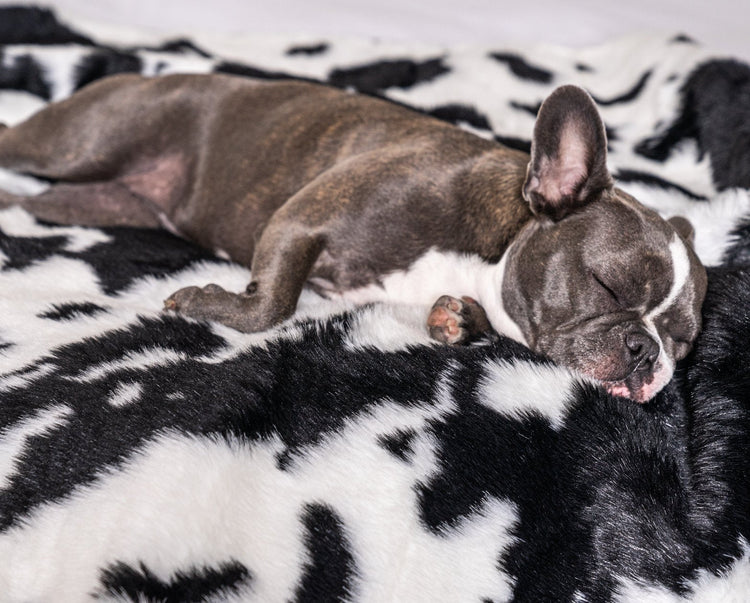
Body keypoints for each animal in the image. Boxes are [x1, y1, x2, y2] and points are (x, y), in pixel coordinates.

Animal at [0, 73, 708, 402]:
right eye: (606, 285)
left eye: (683, 341)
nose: (646, 352)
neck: (489, 248)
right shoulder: (301, 217)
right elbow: (273, 303)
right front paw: (206, 303)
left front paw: (458, 320)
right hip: (82, 143)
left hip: (92, 200)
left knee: (32, 198)